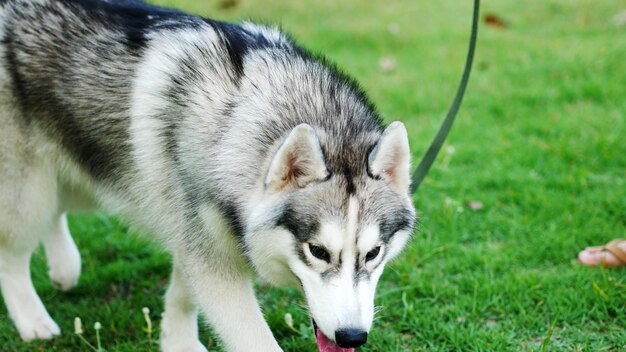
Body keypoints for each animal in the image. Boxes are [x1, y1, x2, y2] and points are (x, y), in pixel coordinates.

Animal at [1, 0, 414, 350]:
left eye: (374, 253)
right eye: (318, 251)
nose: (352, 337)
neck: (232, 125)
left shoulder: (198, 241)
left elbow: (183, 294)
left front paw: (177, 342)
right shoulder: (208, 251)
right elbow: (253, 338)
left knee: (57, 210)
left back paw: (64, 267)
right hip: (29, 191)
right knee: (13, 254)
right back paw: (32, 319)